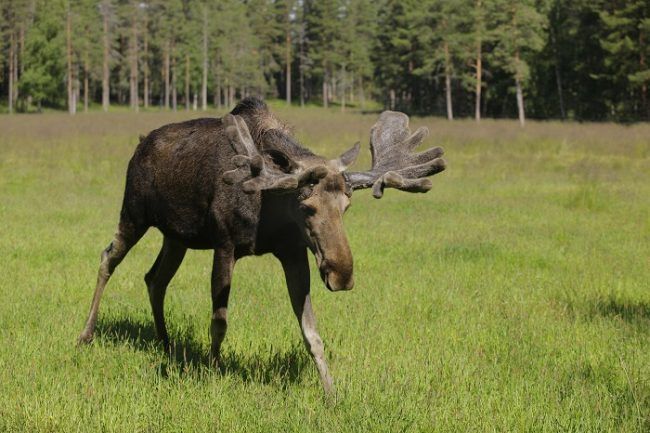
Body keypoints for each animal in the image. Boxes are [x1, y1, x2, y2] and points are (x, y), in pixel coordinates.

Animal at [74, 97, 440, 392]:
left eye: (346, 207)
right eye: (306, 206)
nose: (341, 274)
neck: (270, 207)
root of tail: (139, 146)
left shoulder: (293, 253)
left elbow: (311, 332)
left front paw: (331, 392)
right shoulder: (225, 245)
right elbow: (219, 321)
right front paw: (213, 372)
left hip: (176, 236)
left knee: (155, 279)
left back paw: (166, 344)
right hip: (134, 212)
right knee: (108, 258)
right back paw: (86, 335)